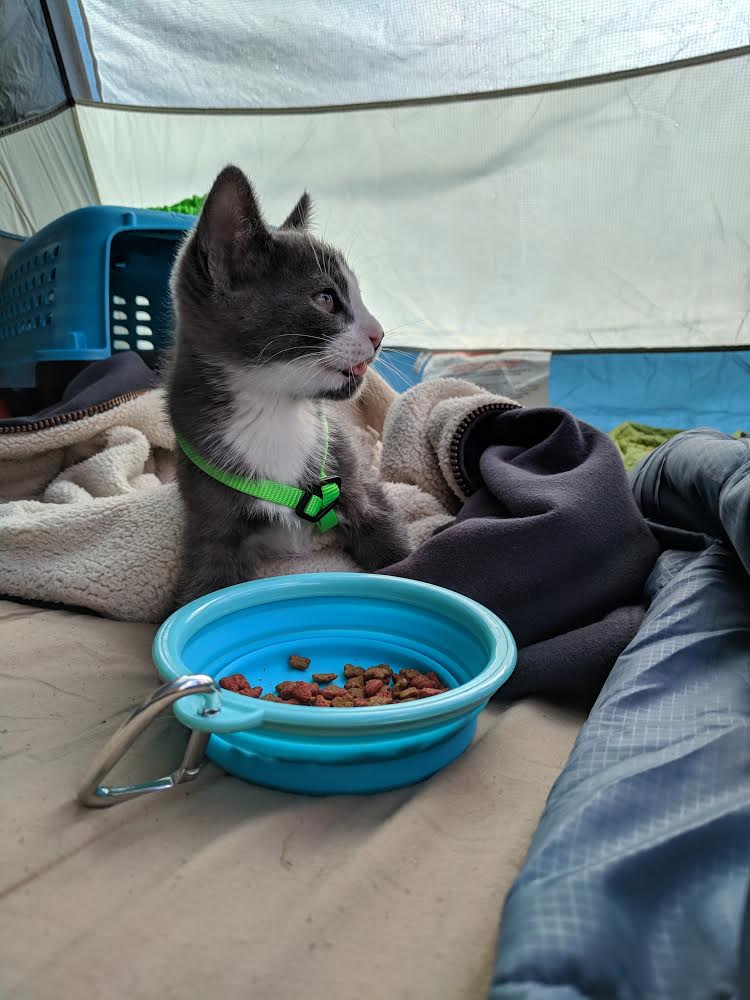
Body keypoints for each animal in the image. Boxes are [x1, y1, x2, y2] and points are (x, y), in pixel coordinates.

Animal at [167, 165, 412, 608]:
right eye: (325, 298)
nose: (379, 333)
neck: (273, 408)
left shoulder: (357, 481)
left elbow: (400, 550)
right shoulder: (208, 517)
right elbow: (202, 584)